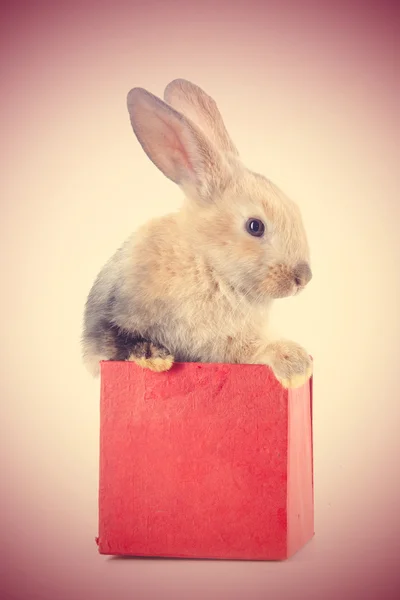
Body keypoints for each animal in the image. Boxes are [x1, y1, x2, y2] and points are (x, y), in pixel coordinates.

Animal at [80, 78, 312, 390]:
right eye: (255, 226)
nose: (303, 278)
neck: (209, 265)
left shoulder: (225, 343)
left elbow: (251, 349)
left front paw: (296, 364)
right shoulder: (112, 316)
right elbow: (120, 341)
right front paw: (156, 358)